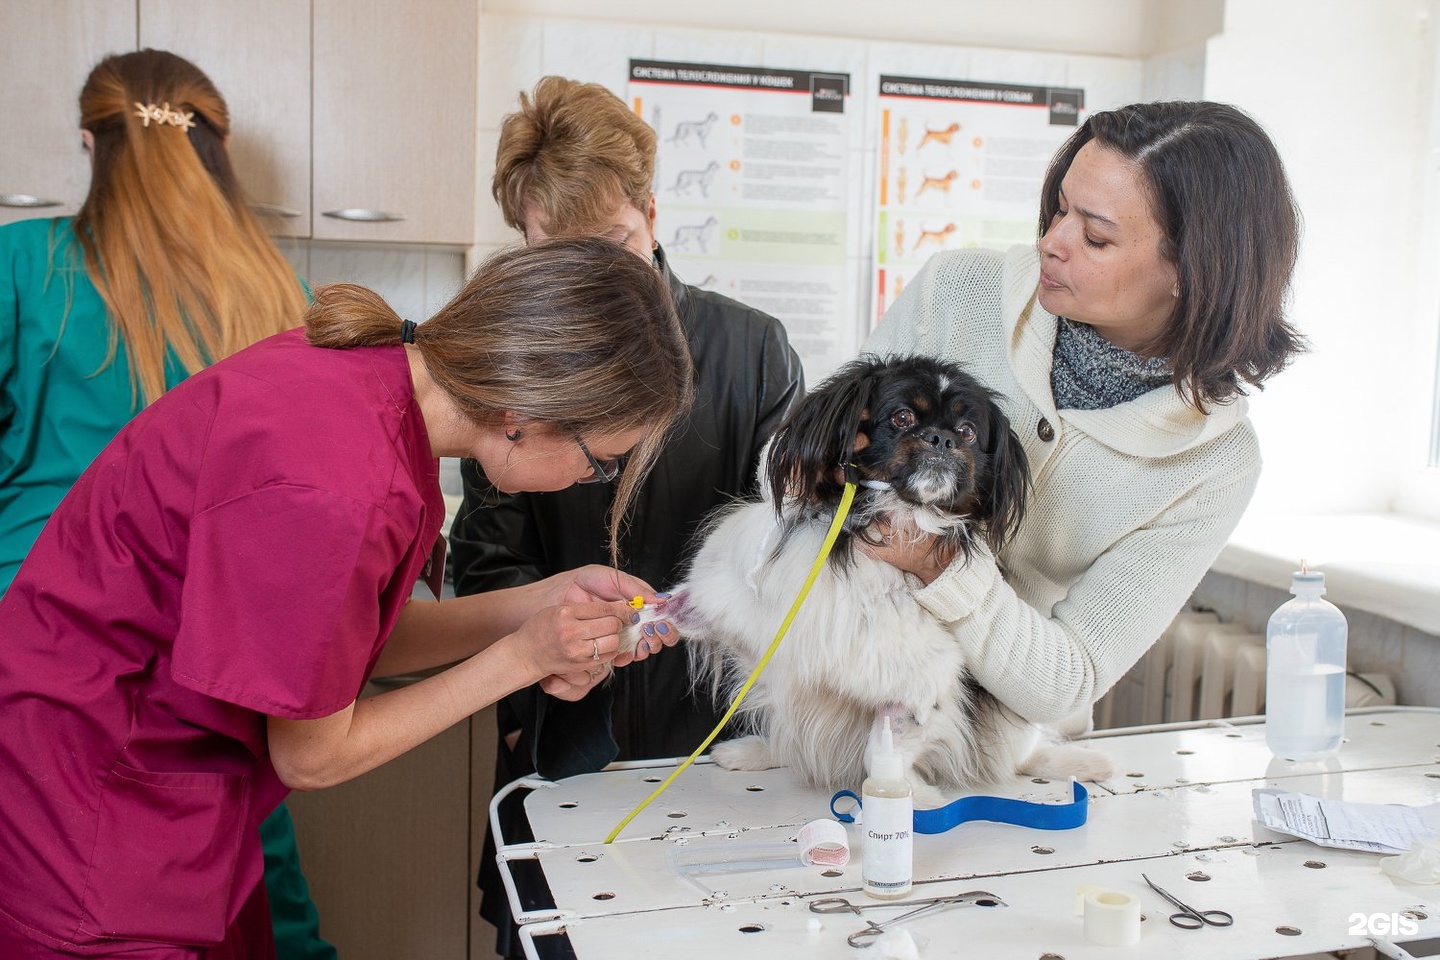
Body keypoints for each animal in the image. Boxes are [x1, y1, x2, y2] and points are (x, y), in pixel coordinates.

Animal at [630, 356, 1111, 805]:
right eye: (902, 418)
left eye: (968, 431)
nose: (943, 439)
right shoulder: (726, 604)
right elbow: (674, 608)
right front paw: (631, 629)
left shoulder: (921, 689)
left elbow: (880, 753)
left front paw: (916, 800)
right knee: (788, 738)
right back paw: (750, 751)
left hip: (1012, 723)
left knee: (1026, 754)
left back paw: (1085, 763)